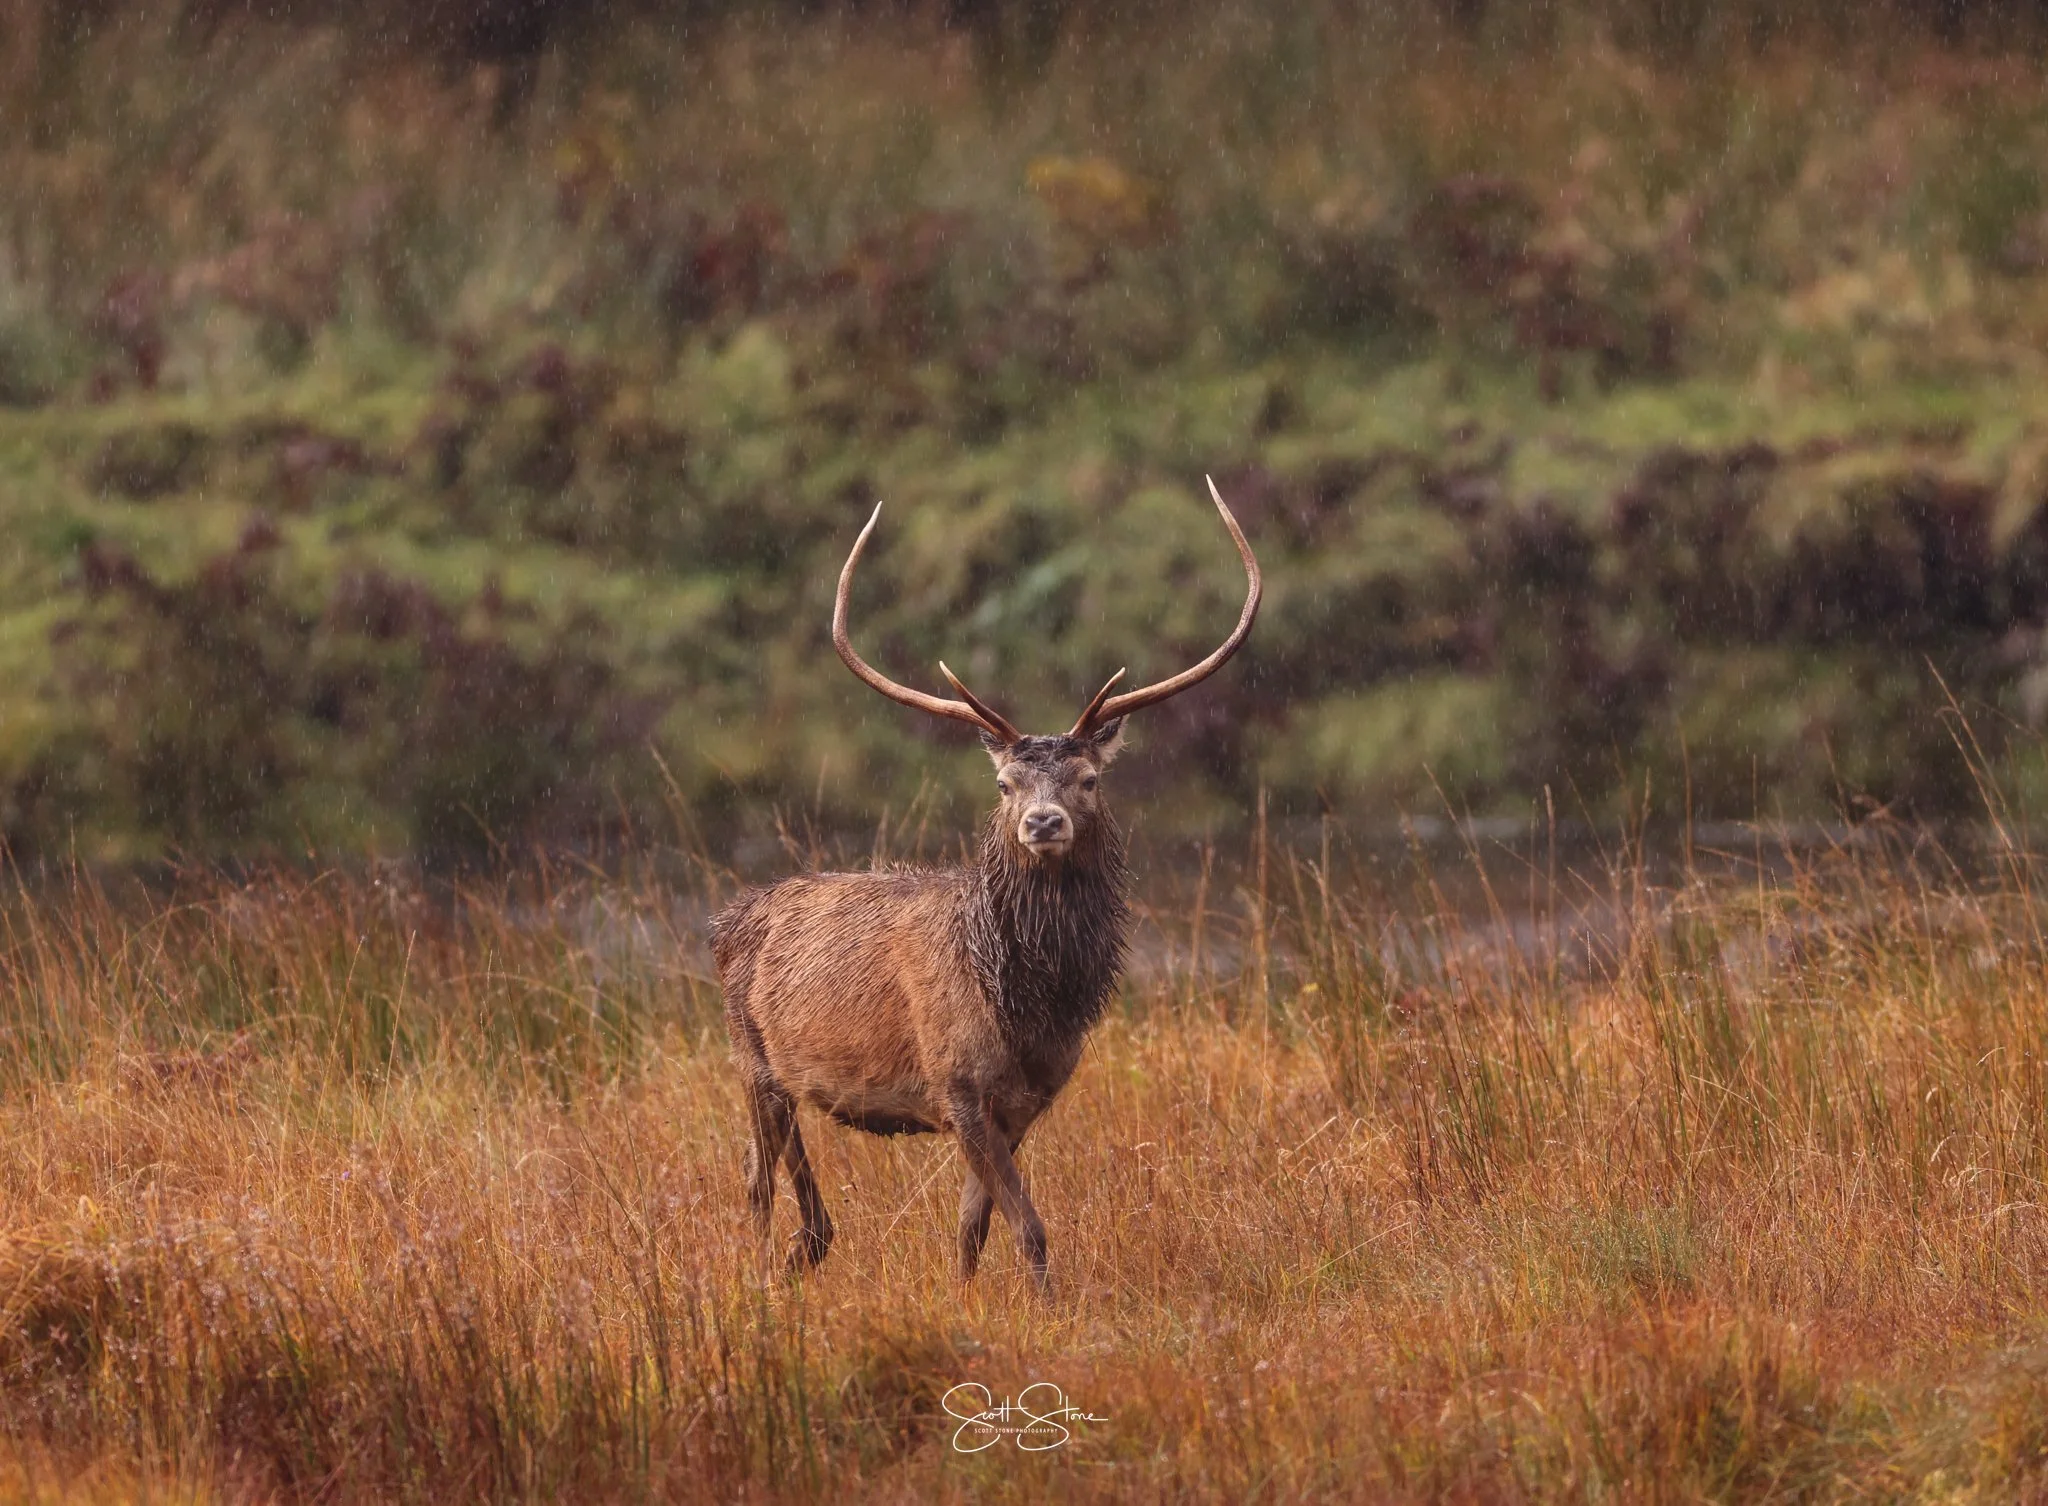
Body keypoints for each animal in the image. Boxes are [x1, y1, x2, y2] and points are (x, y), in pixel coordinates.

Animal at [711, 478, 1260, 1293]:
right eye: (1005, 784)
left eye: (1088, 779)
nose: (1043, 821)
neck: (1030, 1000)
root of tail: (725, 921)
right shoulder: (956, 1084)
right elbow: (1029, 1225)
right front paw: (1046, 1304)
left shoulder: (1026, 1100)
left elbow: (973, 1227)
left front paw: (964, 1299)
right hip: (749, 1055)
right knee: (754, 1179)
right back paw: (759, 1277)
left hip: (787, 1071)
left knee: (794, 1183)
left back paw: (803, 1253)